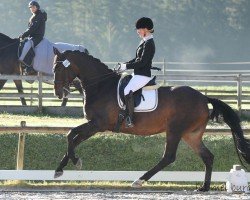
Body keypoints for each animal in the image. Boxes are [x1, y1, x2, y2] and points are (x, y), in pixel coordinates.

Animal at [51, 47, 249, 191]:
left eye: (58, 68)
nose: (58, 93)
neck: (101, 86)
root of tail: (203, 97)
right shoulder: (94, 125)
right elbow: (73, 138)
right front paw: (60, 169)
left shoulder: (98, 124)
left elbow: (71, 135)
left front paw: (75, 162)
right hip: (190, 134)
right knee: (207, 156)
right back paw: (204, 187)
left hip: (175, 130)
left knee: (168, 157)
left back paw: (139, 180)